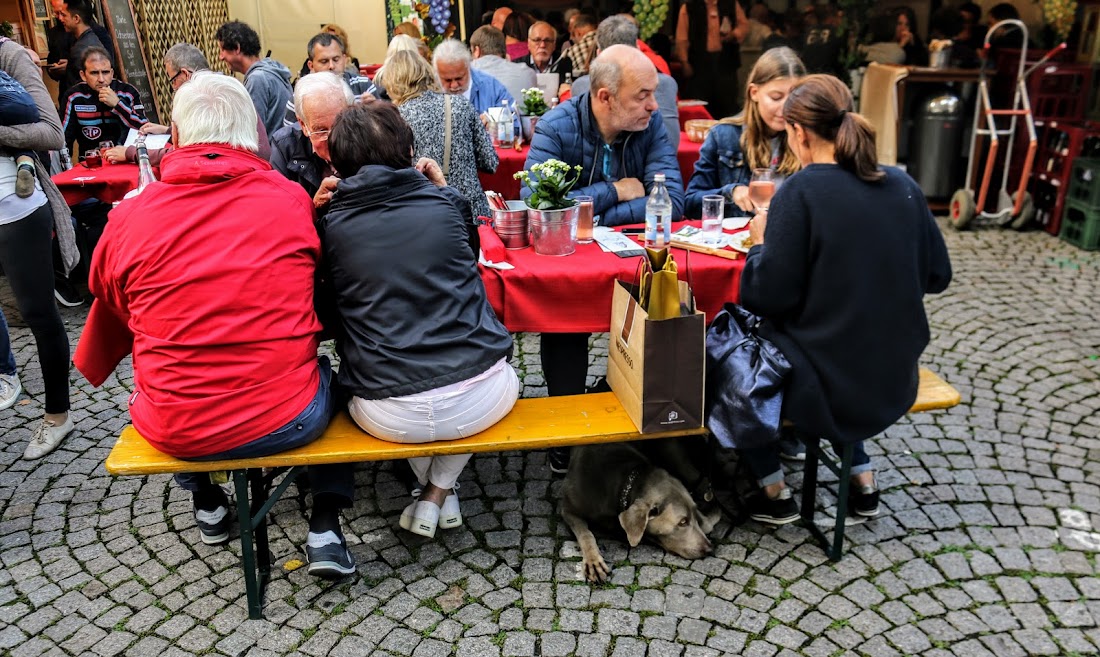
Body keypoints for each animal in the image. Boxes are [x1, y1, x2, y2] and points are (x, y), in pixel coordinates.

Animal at [558, 440, 721, 581]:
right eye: (682, 522)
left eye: (692, 516)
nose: (710, 549)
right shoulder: (568, 510)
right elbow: (586, 534)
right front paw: (593, 562)